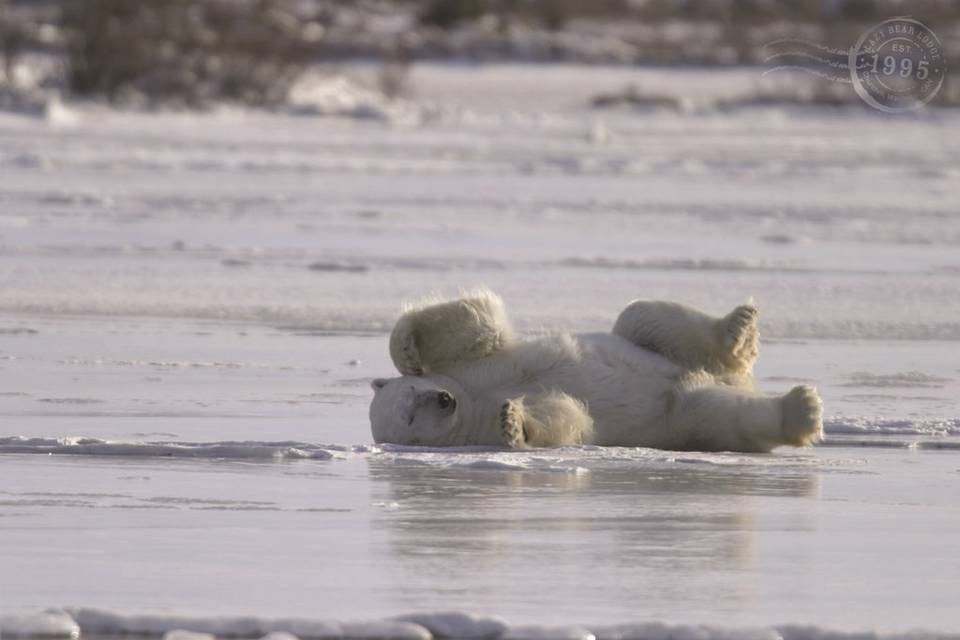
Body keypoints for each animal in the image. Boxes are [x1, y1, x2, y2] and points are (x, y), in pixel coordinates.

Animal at [372, 288, 820, 452]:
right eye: (410, 418)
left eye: (413, 390)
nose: (443, 400)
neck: (470, 399)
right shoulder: (477, 424)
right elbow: (567, 415)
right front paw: (513, 422)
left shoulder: (472, 368)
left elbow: (475, 326)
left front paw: (408, 350)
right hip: (680, 417)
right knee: (716, 412)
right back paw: (803, 410)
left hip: (667, 352)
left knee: (645, 318)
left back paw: (737, 328)